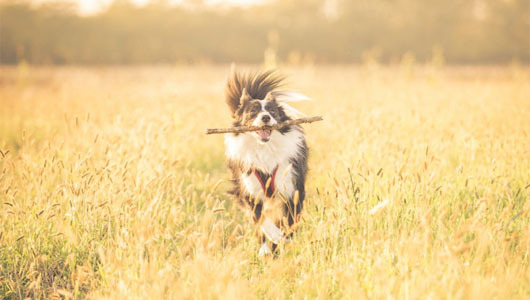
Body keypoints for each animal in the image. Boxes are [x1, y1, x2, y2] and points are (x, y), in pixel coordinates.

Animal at [223, 69, 310, 255]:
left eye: (272, 111)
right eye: (253, 112)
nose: (265, 118)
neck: (264, 149)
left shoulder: (292, 190)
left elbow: (290, 222)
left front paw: (285, 240)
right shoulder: (249, 191)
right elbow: (260, 219)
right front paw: (272, 240)